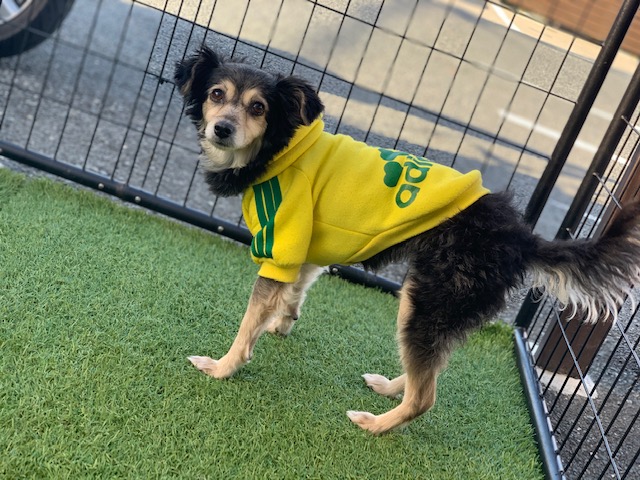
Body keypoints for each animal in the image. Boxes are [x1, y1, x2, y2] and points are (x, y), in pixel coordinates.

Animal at [174, 46, 640, 434]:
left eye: (258, 107)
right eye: (216, 94)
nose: (221, 129)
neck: (280, 152)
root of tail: (521, 236)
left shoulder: (281, 244)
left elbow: (248, 322)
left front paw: (222, 366)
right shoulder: (303, 252)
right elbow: (295, 292)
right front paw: (282, 323)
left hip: (429, 298)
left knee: (426, 396)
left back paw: (375, 424)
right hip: (442, 308)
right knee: (431, 368)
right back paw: (388, 386)